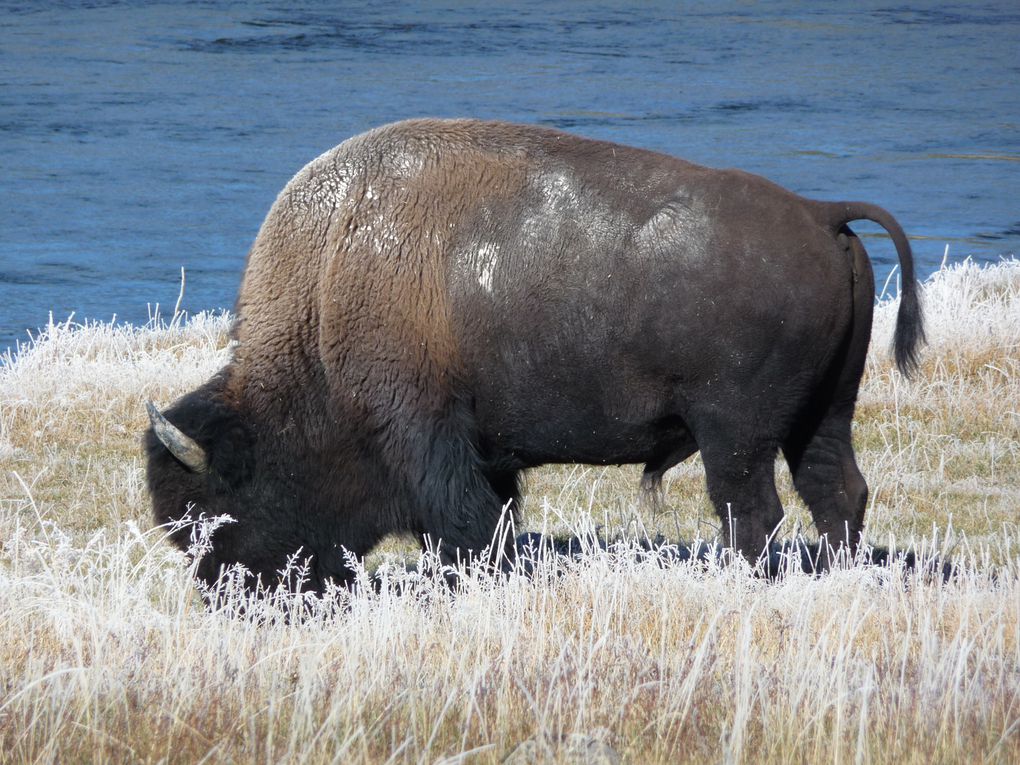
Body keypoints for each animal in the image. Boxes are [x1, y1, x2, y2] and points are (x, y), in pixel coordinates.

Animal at [148, 118, 926, 591]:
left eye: (219, 510)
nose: (235, 598)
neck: (331, 284)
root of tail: (820, 214)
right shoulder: (481, 451)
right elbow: (488, 519)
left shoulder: (428, 435)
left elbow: (464, 525)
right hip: (824, 412)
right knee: (836, 489)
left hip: (734, 433)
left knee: (753, 510)